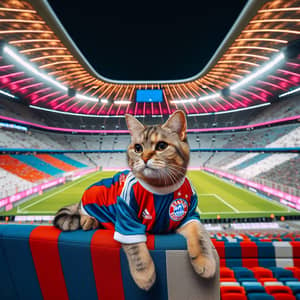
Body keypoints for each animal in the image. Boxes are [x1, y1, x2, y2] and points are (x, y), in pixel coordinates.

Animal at [54, 110, 217, 290]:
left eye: (161, 146)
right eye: (138, 148)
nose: (144, 158)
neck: (161, 187)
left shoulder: (189, 217)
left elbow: (200, 236)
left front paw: (205, 260)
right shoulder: (127, 220)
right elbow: (136, 249)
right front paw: (144, 274)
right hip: (93, 196)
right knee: (82, 211)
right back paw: (89, 220)